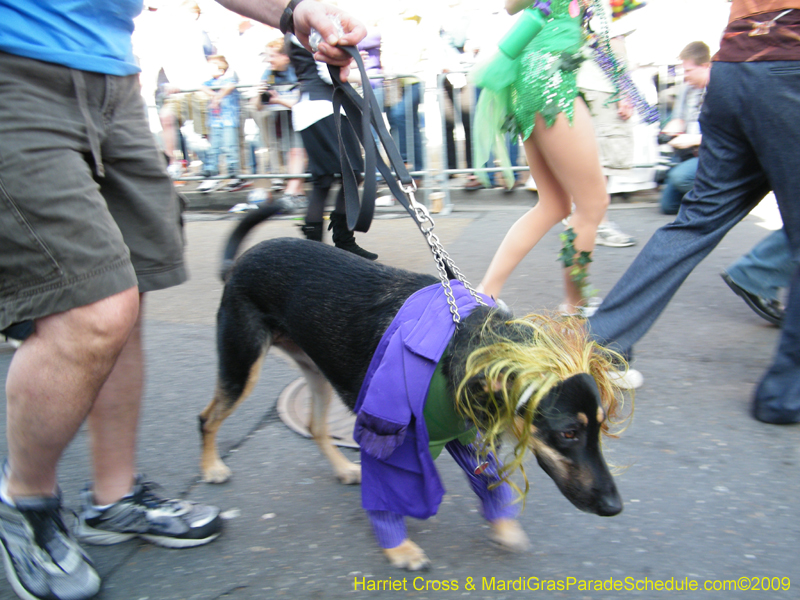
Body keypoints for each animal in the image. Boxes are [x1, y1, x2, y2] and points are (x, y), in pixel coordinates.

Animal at [198, 205, 624, 568]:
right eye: (567, 433)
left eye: (601, 427)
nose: (615, 506)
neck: (464, 343)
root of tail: (238, 263)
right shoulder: (388, 436)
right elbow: (389, 499)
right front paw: (399, 549)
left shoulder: (461, 434)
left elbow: (489, 485)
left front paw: (504, 527)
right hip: (241, 367)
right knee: (207, 418)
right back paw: (212, 467)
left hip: (315, 372)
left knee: (317, 427)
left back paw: (341, 468)